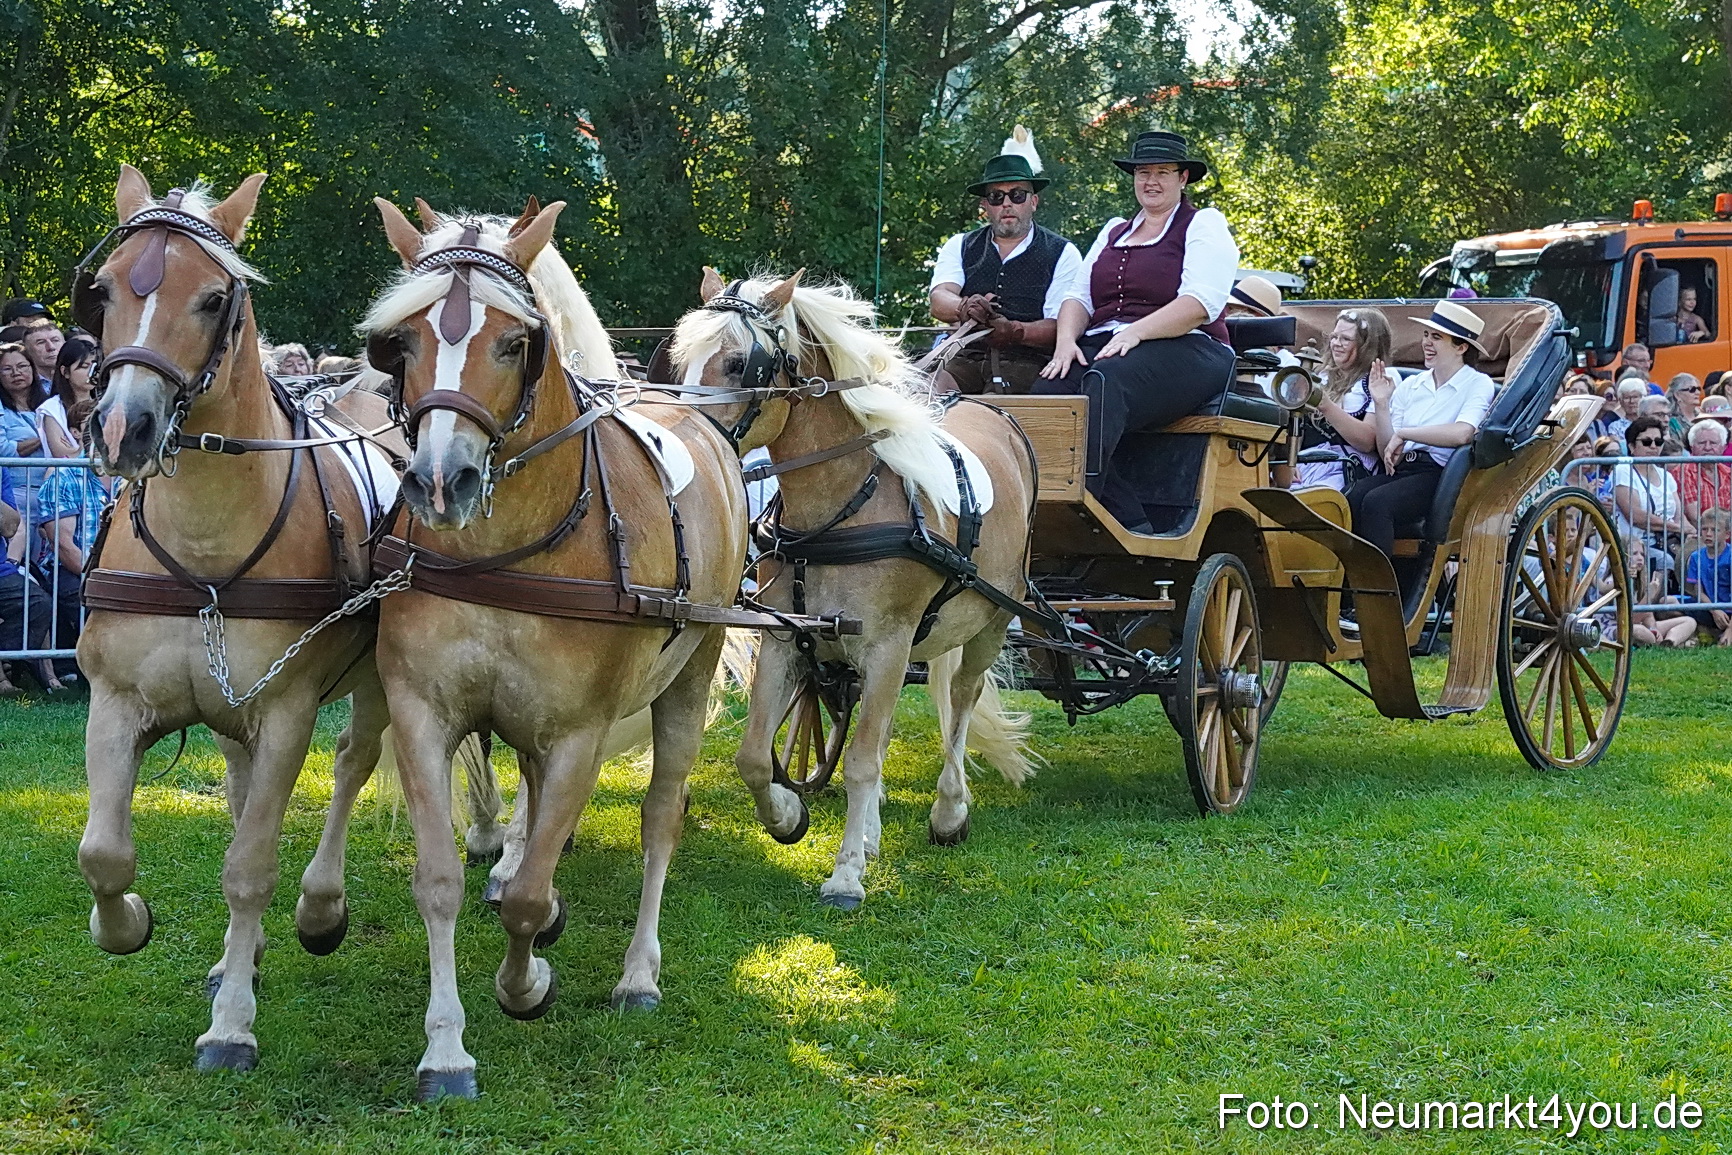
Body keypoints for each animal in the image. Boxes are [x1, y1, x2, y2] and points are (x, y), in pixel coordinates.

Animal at [72, 167, 473, 1074]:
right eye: (101, 290)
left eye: (214, 297)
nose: (122, 427)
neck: (206, 548)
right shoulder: (115, 701)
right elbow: (104, 852)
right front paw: (130, 924)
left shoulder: (287, 709)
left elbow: (250, 863)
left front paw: (231, 1027)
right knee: (239, 779)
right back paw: (237, 954)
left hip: (374, 683)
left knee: (355, 761)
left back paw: (321, 906)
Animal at [360, 196, 761, 1100]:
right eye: (401, 342)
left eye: (515, 342)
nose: (440, 481)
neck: (504, 554)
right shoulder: (423, 714)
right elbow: (441, 879)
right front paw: (446, 1048)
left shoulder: (580, 733)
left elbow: (530, 891)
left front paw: (527, 982)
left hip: (688, 680)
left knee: (659, 818)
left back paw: (638, 972)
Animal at [670, 269, 1039, 909]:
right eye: (679, 358)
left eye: (742, 363)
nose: (685, 433)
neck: (842, 508)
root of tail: (995, 410)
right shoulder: (787, 641)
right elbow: (754, 755)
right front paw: (789, 816)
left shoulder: (889, 644)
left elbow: (863, 760)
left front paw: (844, 876)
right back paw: (869, 833)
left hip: (989, 623)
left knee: (960, 704)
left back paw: (948, 811)